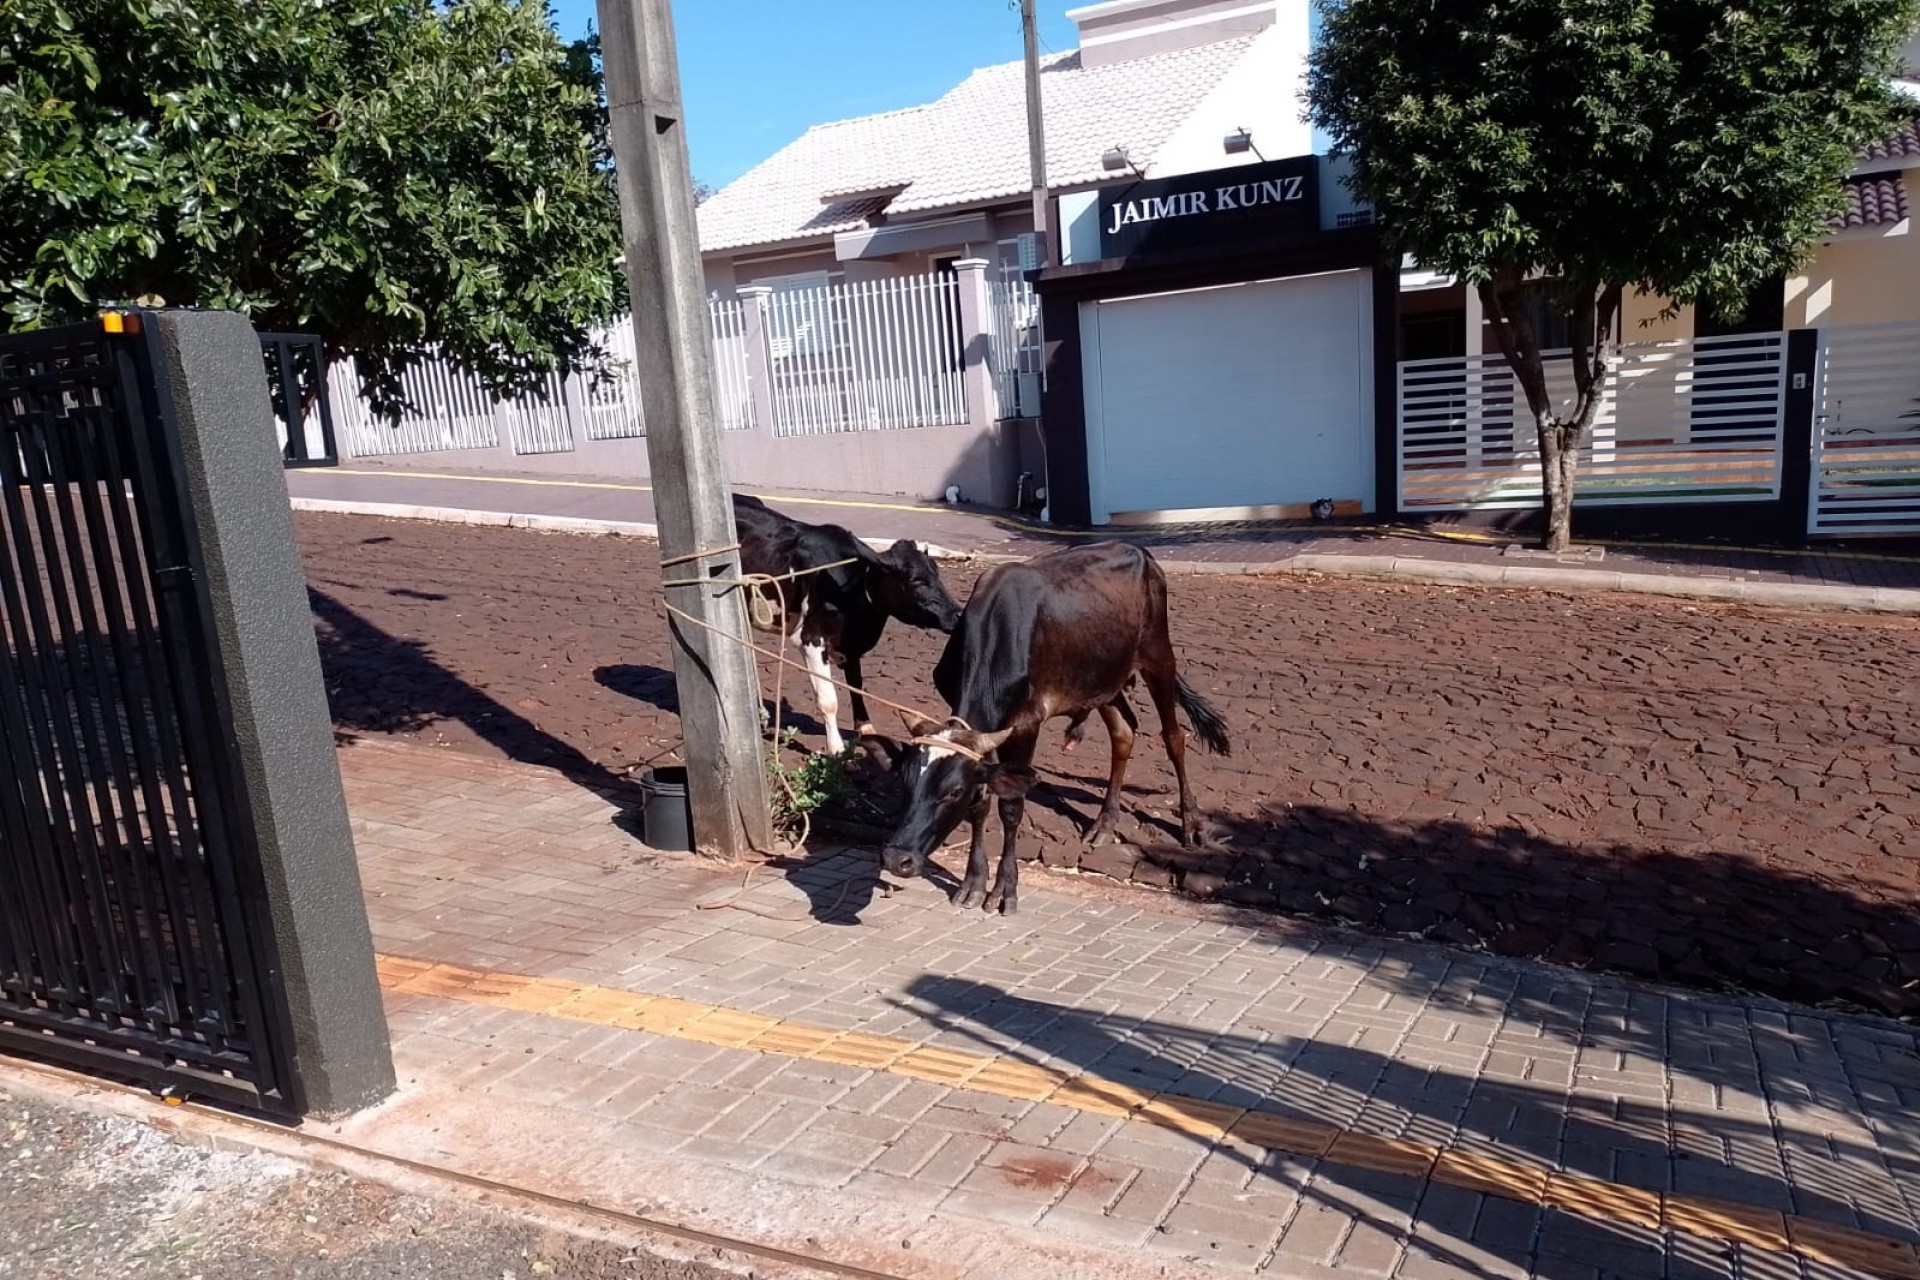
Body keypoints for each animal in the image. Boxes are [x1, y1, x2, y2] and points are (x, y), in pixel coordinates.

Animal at [725, 487, 960, 752]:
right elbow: (828, 700)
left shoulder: (852, 644)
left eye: (937, 573)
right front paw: (835, 748)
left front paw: (866, 729)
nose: (957, 614)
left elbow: (856, 686)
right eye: (916, 580)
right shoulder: (812, 638)